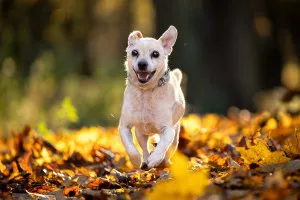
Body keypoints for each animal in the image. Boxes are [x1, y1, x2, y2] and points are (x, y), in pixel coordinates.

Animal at [119, 24, 185, 169]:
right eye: (134, 52)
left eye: (155, 54)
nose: (142, 63)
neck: (146, 92)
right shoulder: (124, 126)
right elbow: (130, 148)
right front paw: (136, 160)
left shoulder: (168, 129)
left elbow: (162, 146)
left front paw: (155, 159)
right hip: (140, 133)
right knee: (144, 148)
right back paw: (145, 160)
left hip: (175, 136)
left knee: (168, 150)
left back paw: (162, 162)